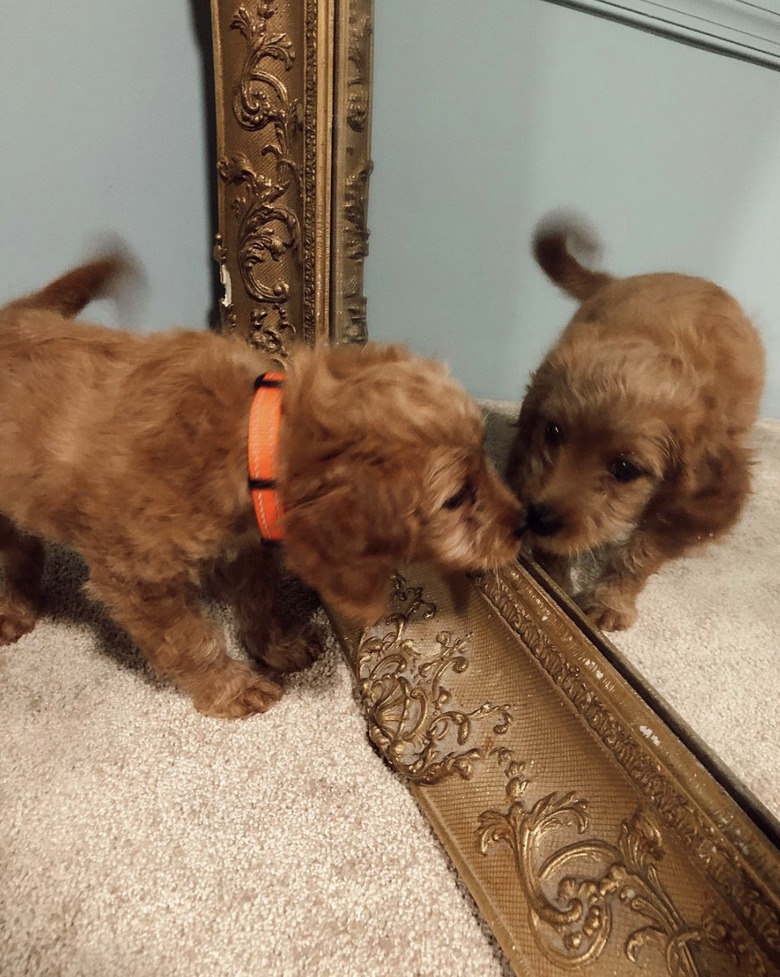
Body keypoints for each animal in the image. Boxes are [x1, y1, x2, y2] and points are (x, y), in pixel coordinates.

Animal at [1, 255, 524, 712]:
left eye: (485, 453)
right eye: (457, 497)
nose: (524, 524)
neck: (250, 434)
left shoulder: (248, 543)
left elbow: (258, 599)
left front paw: (276, 645)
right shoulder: (136, 576)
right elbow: (192, 639)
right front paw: (232, 688)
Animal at [502, 215, 764, 632]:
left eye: (625, 469)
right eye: (553, 431)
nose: (537, 518)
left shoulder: (683, 509)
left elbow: (641, 552)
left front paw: (610, 600)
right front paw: (557, 583)